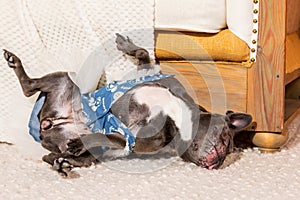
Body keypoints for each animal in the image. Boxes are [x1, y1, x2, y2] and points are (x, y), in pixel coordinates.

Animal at [3, 34, 253, 177]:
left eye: (228, 150)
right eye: (226, 141)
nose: (218, 162)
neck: (178, 115)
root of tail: (46, 125)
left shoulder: (133, 139)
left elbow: (109, 136)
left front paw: (87, 140)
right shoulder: (151, 75)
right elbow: (142, 54)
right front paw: (125, 44)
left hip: (89, 153)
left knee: (57, 156)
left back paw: (63, 163)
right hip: (64, 80)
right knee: (29, 87)